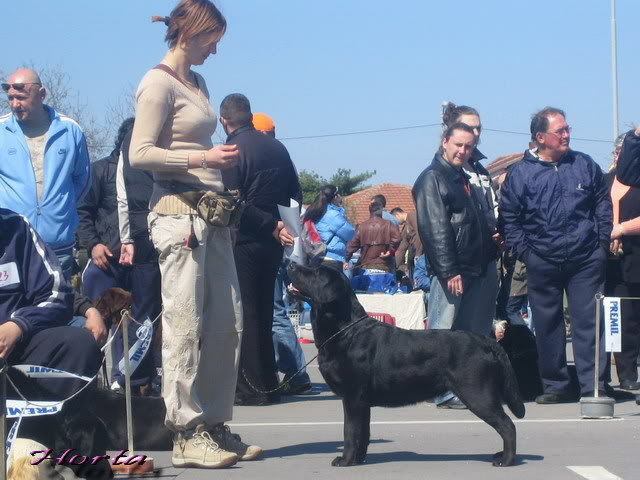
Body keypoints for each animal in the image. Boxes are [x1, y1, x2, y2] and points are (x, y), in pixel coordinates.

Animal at [288, 264, 524, 466]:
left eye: (315, 272)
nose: (290, 264)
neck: (345, 331)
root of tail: (486, 341)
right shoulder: (362, 402)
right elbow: (363, 433)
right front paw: (358, 459)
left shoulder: (353, 396)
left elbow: (349, 431)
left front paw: (345, 460)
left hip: (477, 393)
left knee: (508, 426)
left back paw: (506, 460)